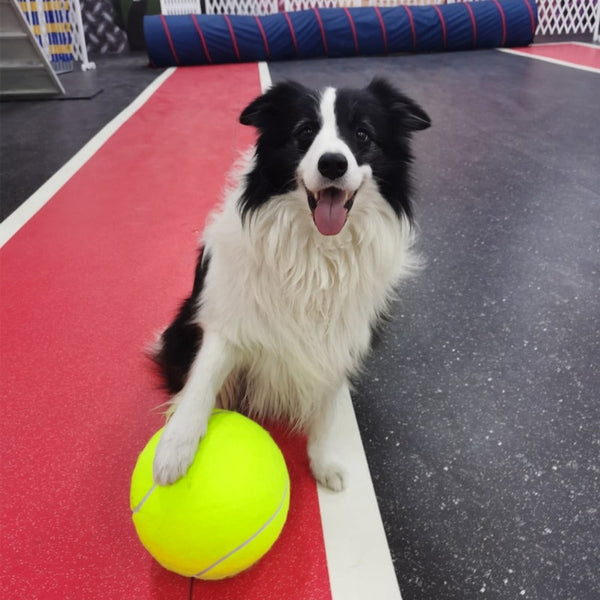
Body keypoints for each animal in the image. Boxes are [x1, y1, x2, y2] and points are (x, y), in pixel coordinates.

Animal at [152, 79, 428, 490]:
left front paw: (324, 462)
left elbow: (326, 411)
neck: (317, 252)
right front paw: (174, 450)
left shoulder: (337, 338)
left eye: (362, 134)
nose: (333, 163)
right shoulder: (228, 322)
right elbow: (202, 382)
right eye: (304, 132)